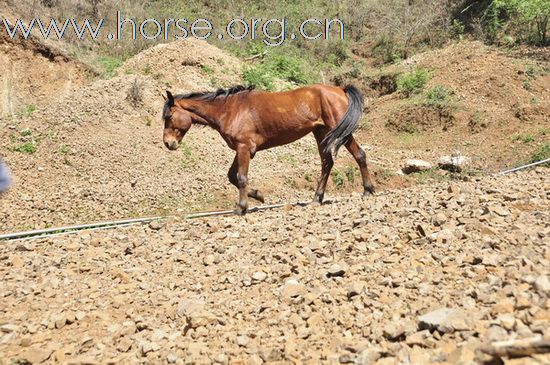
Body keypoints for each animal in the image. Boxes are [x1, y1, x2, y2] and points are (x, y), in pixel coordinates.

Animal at [162, 83, 378, 213]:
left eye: (169, 116)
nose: (167, 143)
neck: (229, 109)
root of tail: (340, 89)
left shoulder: (243, 148)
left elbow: (241, 177)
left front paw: (242, 207)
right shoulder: (242, 149)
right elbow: (232, 177)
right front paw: (258, 196)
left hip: (341, 131)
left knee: (359, 155)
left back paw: (368, 191)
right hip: (321, 133)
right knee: (327, 164)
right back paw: (317, 198)